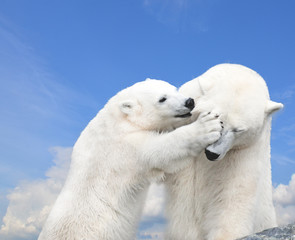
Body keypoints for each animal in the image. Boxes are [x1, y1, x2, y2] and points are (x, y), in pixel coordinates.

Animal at [37, 79, 222, 240]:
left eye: (175, 89)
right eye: (162, 99)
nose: (189, 102)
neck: (116, 121)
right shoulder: (122, 149)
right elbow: (159, 150)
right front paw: (207, 126)